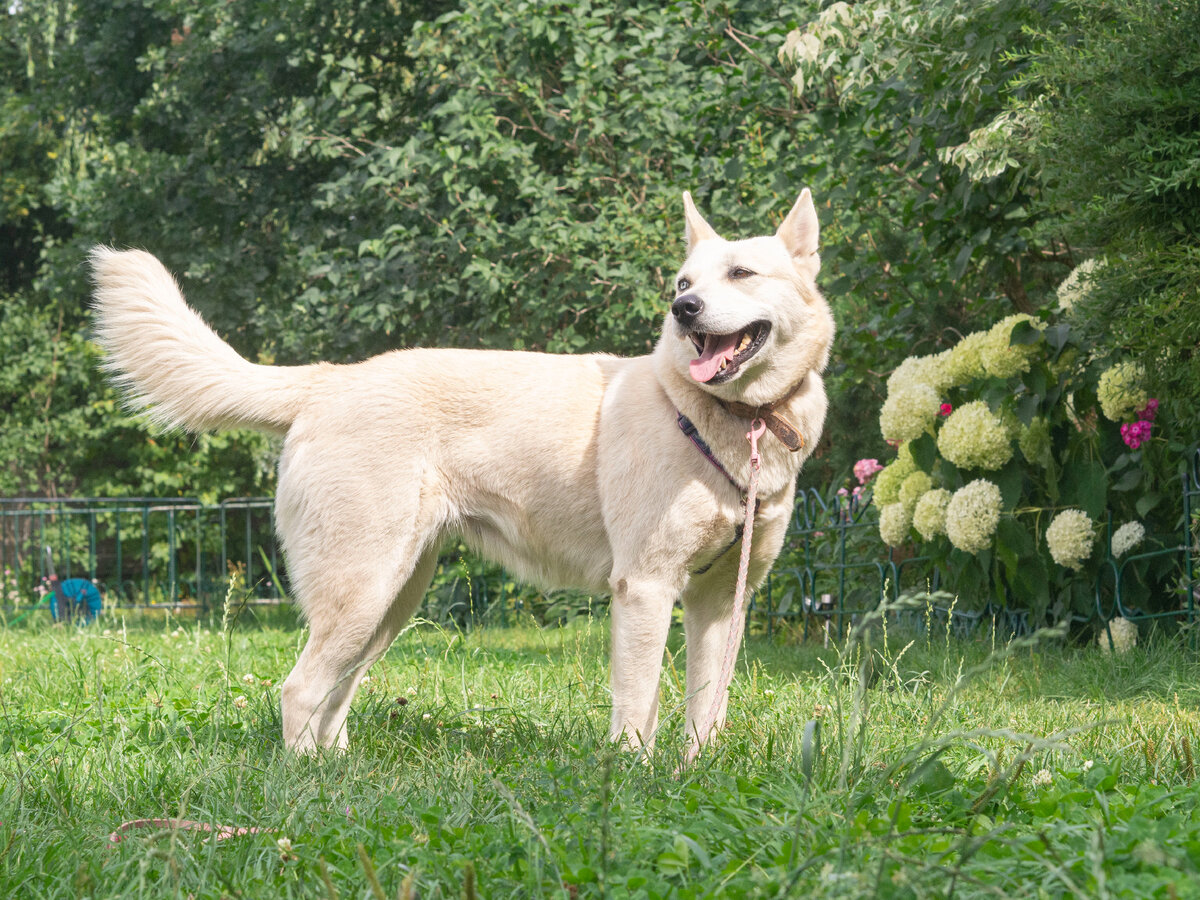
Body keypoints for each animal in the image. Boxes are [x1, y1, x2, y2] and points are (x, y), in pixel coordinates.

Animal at [91, 192, 835, 753]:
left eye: (741, 274)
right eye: (684, 284)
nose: (684, 312)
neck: (733, 421)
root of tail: (329, 380)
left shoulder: (719, 603)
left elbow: (706, 708)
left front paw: (694, 777)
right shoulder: (645, 590)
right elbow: (636, 708)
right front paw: (635, 781)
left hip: (391, 601)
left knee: (335, 694)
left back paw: (339, 775)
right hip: (364, 591)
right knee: (300, 689)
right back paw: (308, 787)